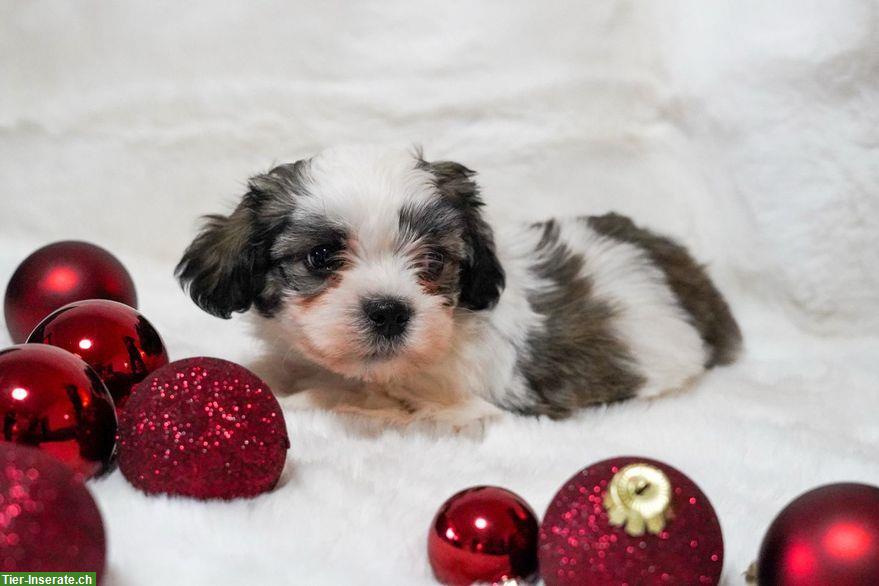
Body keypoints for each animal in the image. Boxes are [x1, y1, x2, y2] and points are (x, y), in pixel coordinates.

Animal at [179, 145, 744, 420]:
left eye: (433, 261)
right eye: (320, 256)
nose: (389, 310)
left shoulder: (452, 404)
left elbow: (347, 401)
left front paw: (296, 403)